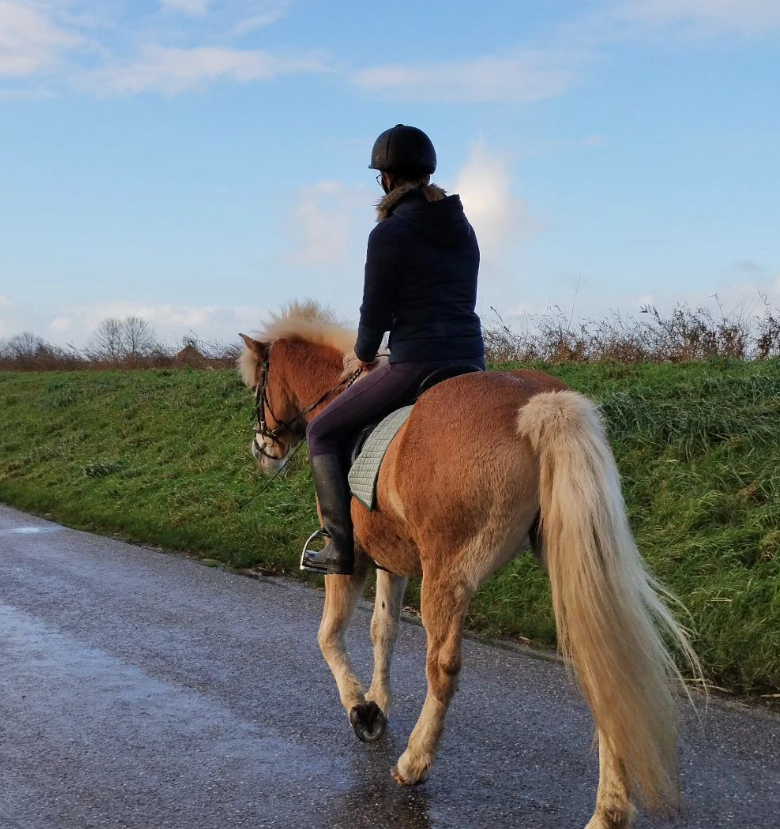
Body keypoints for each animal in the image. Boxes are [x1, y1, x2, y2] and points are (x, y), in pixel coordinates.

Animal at [238, 302, 696, 828]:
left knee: (442, 668)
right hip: (573, 565)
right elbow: (383, 630)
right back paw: (609, 811)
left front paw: (362, 711)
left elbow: (329, 635)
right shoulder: (392, 560)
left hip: (448, 577)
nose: (262, 452)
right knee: (603, 668)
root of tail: (538, 404)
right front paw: (379, 702)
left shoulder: (353, 561)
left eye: (257, 388)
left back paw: (414, 762)